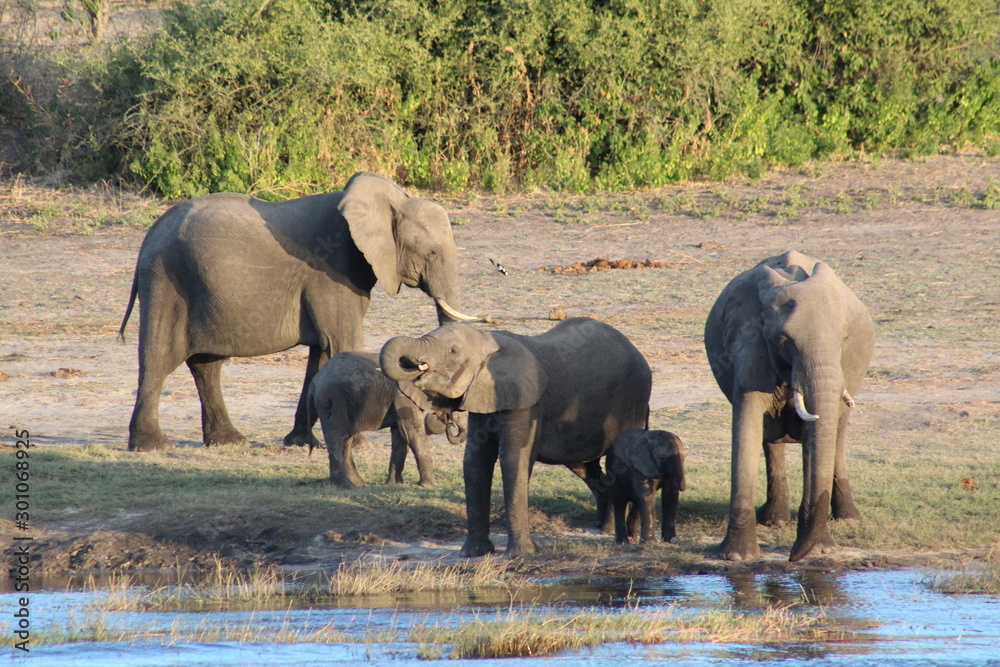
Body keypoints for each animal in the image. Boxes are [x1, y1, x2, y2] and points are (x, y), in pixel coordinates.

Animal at [118, 172, 478, 452]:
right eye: (431, 253)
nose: (450, 427)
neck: (392, 201)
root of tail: (149, 235)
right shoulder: (330, 272)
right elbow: (342, 343)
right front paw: (358, 445)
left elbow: (322, 354)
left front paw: (303, 443)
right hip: (167, 283)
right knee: (159, 358)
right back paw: (153, 446)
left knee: (207, 364)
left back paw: (229, 441)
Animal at [306, 351, 466, 488]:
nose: (450, 422)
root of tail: (314, 382)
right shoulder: (403, 397)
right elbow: (413, 434)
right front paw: (431, 485)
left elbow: (400, 436)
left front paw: (395, 484)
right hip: (332, 398)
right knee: (338, 437)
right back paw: (345, 486)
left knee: (346, 440)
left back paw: (359, 485)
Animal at [380, 317, 652, 557]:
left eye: (453, 351)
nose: (414, 365)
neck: (488, 341)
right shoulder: (483, 396)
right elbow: (475, 463)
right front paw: (473, 554)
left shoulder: (526, 402)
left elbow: (512, 460)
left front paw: (520, 555)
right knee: (585, 466)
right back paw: (600, 526)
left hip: (632, 400)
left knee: (617, 464)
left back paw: (613, 531)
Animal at [704, 250, 874, 562]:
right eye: (783, 341)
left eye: (844, 339)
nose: (791, 556)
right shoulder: (750, 343)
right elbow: (746, 428)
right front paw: (738, 556)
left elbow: (813, 439)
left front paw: (821, 550)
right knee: (769, 438)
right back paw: (774, 520)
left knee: (838, 434)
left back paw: (848, 518)